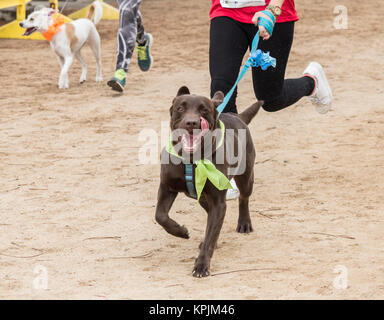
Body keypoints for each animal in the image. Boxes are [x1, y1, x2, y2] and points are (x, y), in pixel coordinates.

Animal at [154, 87, 262, 278]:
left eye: (204, 110)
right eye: (180, 108)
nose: (191, 122)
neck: (191, 160)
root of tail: (238, 117)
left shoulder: (219, 202)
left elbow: (212, 233)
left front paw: (202, 265)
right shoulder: (167, 187)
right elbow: (160, 216)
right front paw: (180, 231)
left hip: (245, 177)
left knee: (243, 198)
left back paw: (244, 223)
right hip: (203, 198)